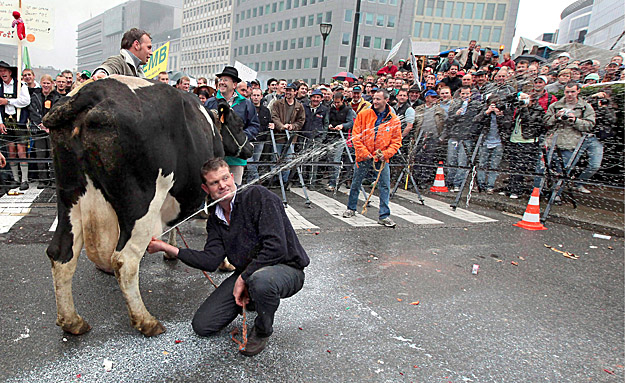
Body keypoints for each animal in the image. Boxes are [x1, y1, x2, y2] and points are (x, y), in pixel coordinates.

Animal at [43, 76, 254, 338]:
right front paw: (225, 263)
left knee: (61, 252)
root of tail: (89, 93)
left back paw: (72, 322)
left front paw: (171, 252)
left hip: (69, 197)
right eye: (239, 123)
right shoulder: (207, 192)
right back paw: (147, 321)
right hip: (141, 204)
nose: (251, 148)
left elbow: (176, 223)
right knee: (124, 261)